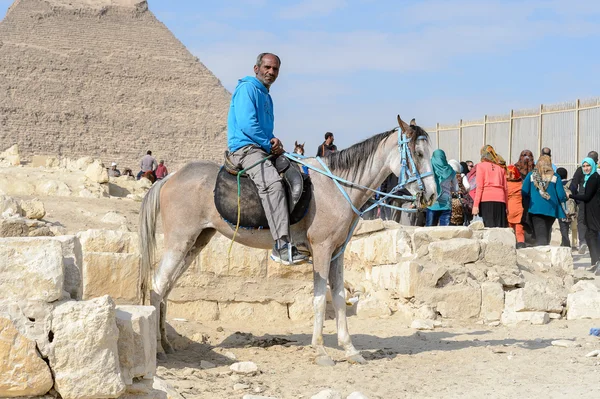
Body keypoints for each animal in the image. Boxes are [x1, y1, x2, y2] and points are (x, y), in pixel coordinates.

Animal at [139, 115, 436, 366]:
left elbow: (340, 298)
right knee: (157, 286)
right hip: (180, 241)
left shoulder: (337, 253)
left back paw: (166, 344)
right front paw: (320, 350)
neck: (337, 186)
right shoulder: (321, 250)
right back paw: (157, 349)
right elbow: (320, 299)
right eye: (419, 154)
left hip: (196, 242)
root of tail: (169, 177)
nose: (433, 195)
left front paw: (350, 350)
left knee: (165, 288)